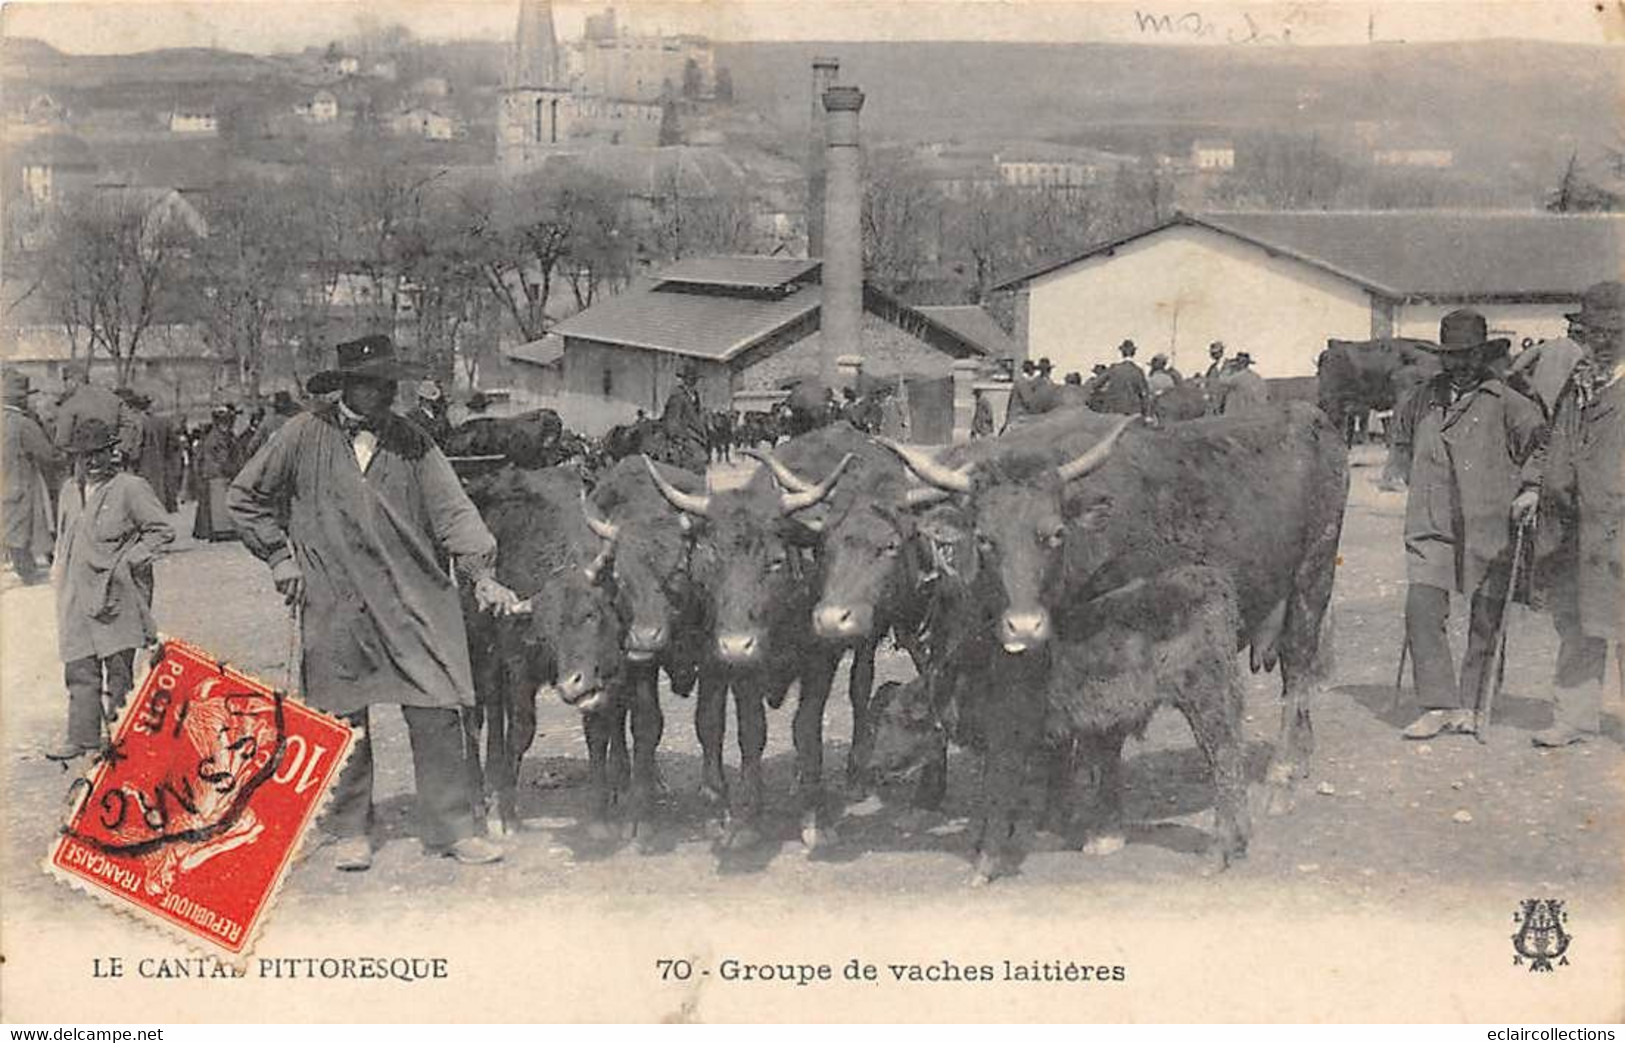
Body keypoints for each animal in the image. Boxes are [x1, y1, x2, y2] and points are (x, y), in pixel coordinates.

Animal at [643, 451, 858, 844]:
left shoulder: (822, 660)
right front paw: (748, 817)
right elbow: (751, 731)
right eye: (711, 559)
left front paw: (813, 813)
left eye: (775, 560)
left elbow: (807, 729)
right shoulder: (740, 669)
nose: (735, 644)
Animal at [877, 402, 1345, 883]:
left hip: (1312, 579)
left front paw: (1102, 827)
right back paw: (1300, 761)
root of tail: (1307, 414)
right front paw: (1058, 813)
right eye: (985, 538)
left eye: (1055, 533)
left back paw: (1282, 778)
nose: (1024, 627)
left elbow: (1107, 731)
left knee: (1297, 674)